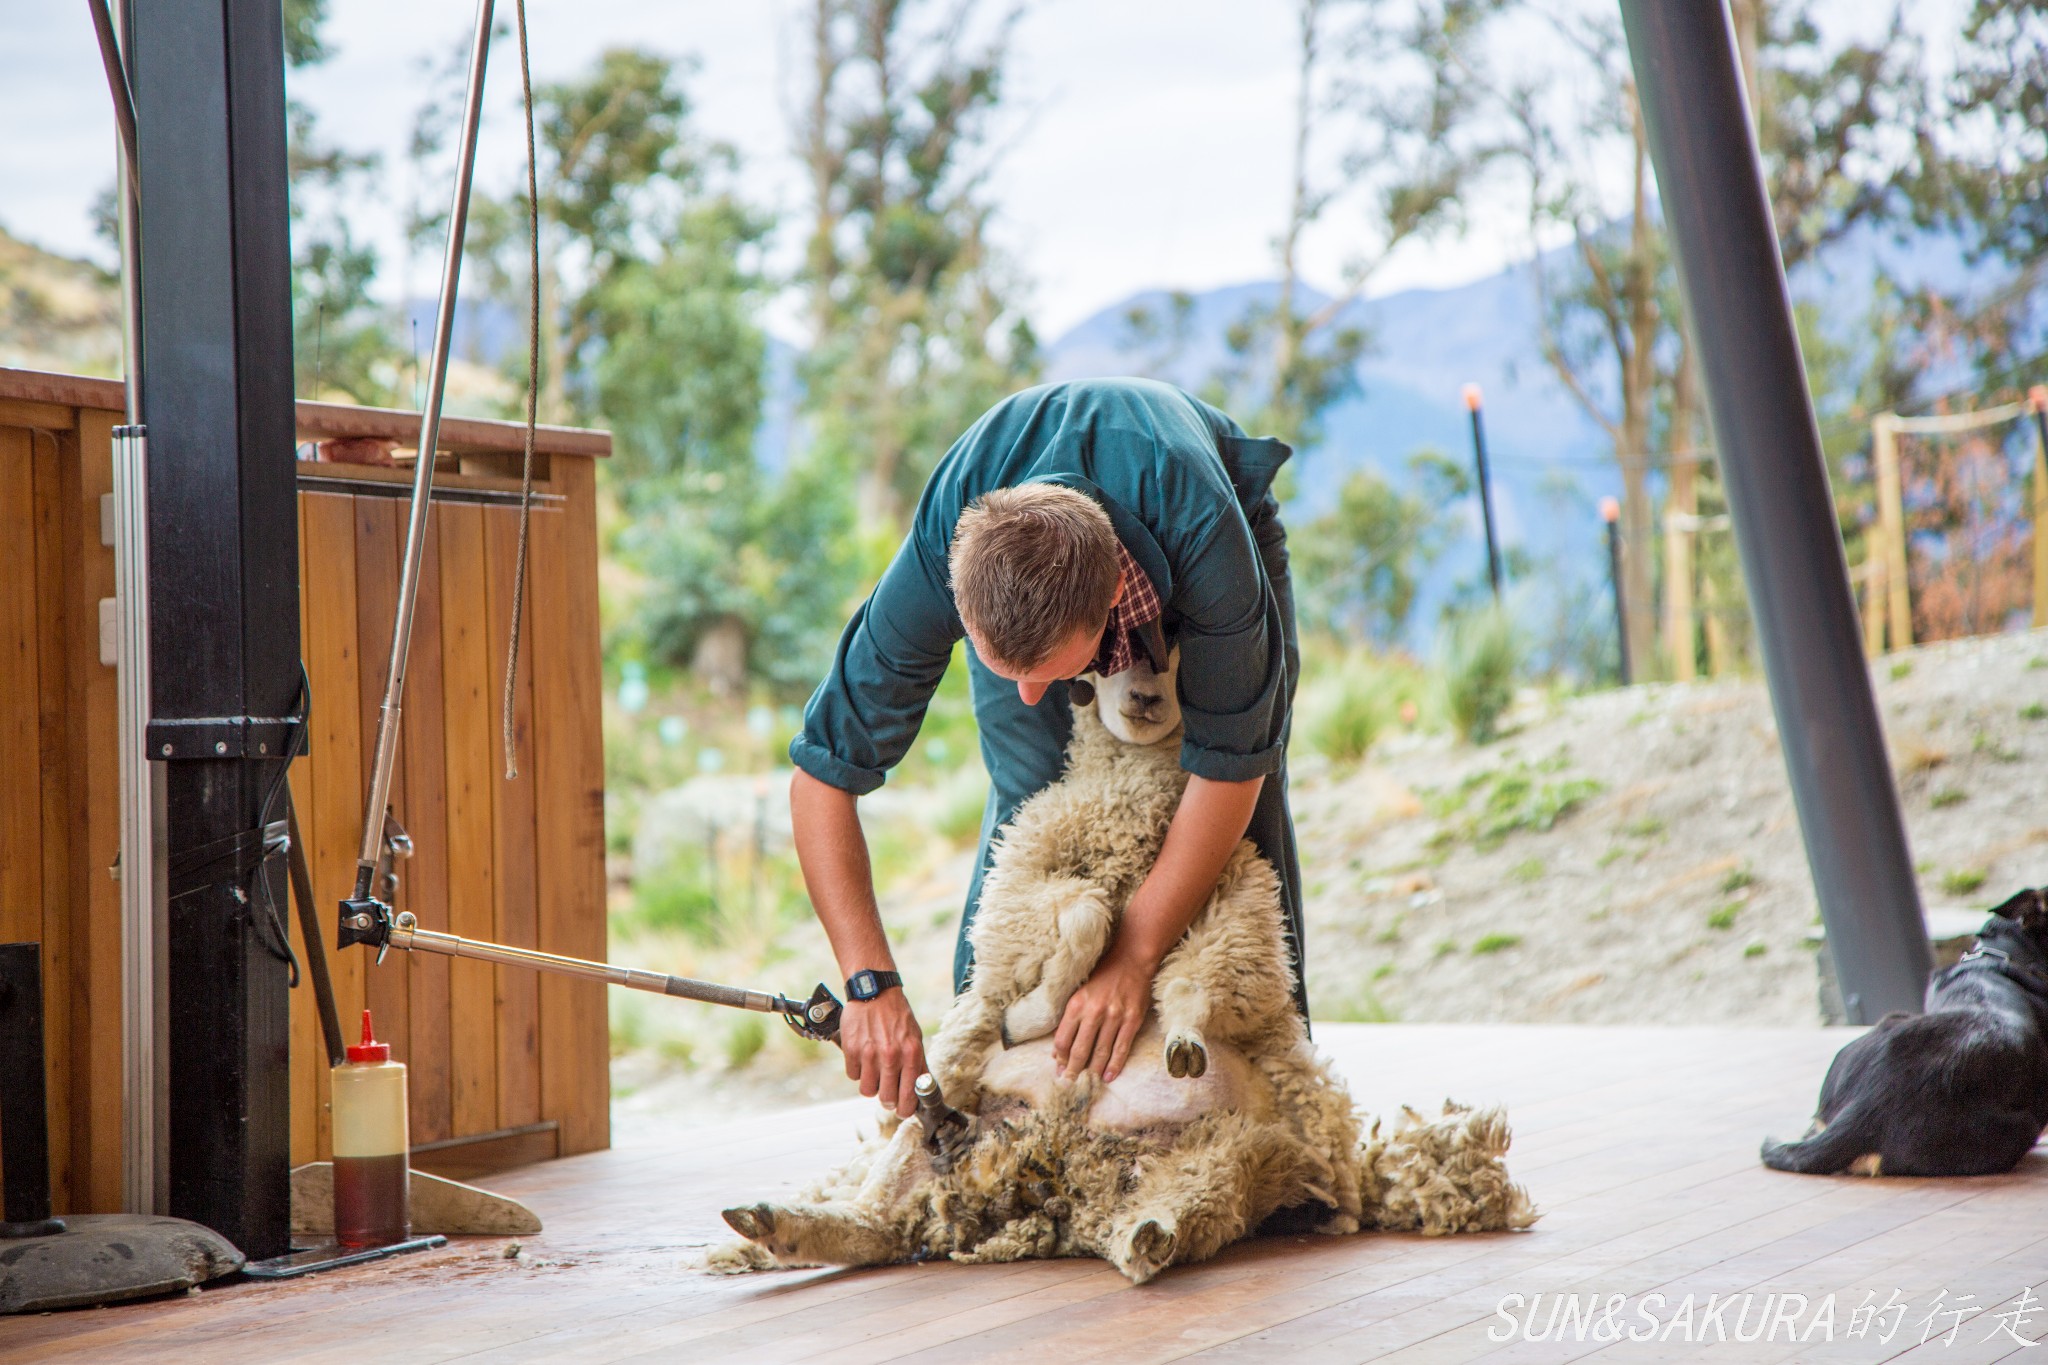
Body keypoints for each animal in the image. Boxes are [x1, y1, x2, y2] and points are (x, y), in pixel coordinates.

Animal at [712, 650, 1531, 1285]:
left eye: (1173, 650)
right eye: (1107, 661)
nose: (1144, 697)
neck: (1128, 805)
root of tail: (1052, 1161)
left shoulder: (1236, 899)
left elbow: (1201, 978)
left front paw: (1179, 1033)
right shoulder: (1020, 890)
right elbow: (1087, 915)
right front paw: (1037, 1011)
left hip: (1224, 1160)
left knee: (1164, 1214)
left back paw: (1149, 1230)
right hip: (935, 1121)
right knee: (878, 1224)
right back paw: (773, 1222)